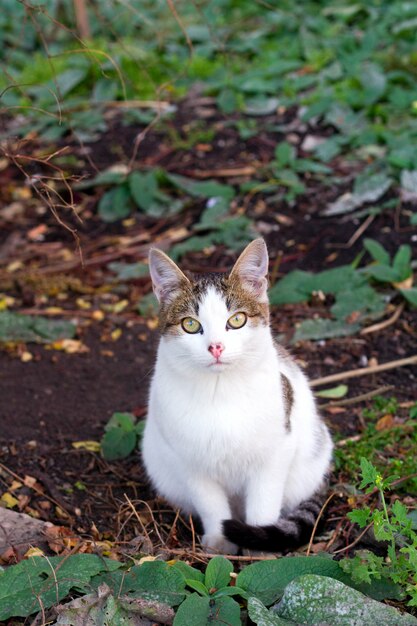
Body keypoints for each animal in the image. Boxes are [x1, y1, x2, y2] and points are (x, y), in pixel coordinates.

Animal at [142, 235, 332, 552]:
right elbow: (211, 505)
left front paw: (258, 548)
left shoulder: (276, 451)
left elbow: (264, 503)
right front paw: (219, 542)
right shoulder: (189, 462)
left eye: (237, 320)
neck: (220, 391)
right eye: (190, 324)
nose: (216, 347)